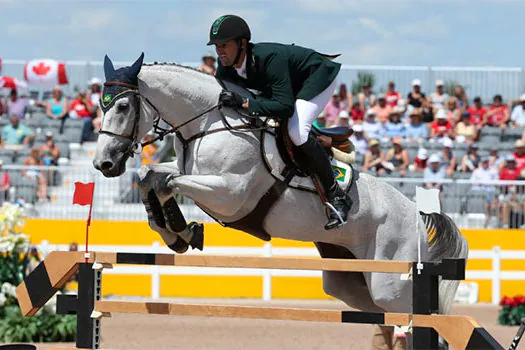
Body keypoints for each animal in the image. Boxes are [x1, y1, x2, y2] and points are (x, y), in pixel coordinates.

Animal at [93, 53, 466, 348]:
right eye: (101, 105)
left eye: (123, 106)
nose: (103, 164)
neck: (208, 123)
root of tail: (419, 216)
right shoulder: (192, 174)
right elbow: (149, 176)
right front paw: (174, 233)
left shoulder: (229, 193)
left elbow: (167, 182)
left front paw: (183, 230)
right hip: (353, 283)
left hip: (391, 285)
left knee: (428, 325)